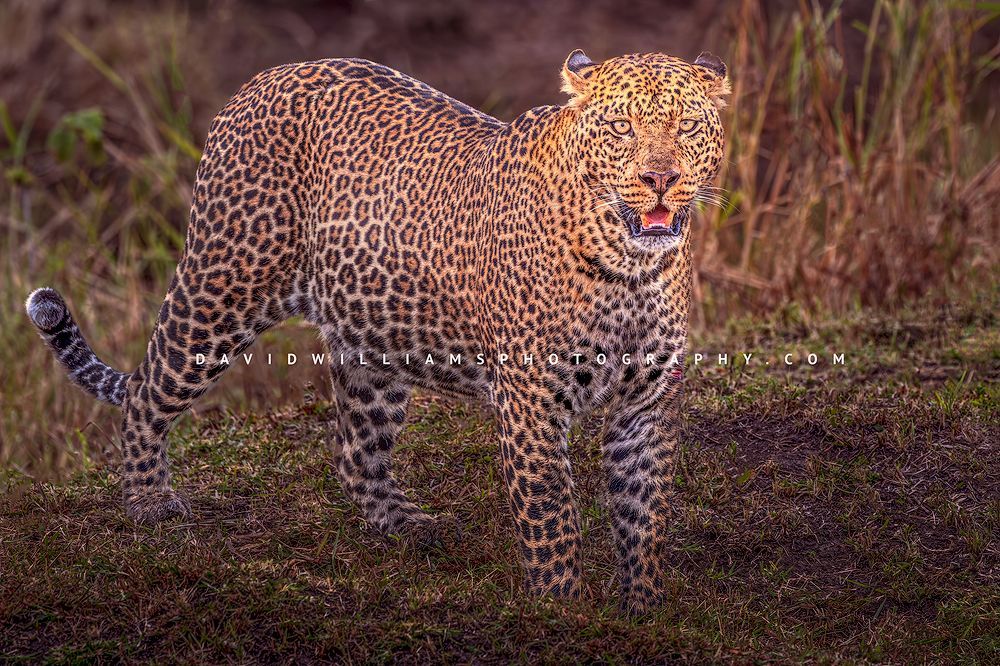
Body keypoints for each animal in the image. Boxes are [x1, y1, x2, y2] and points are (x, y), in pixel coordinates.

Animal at [26, 49, 729, 613]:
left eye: (688, 126)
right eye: (622, 128)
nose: (659, 179)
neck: (630, 267)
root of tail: (262, 78)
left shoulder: (649, 401)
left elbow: (644, 510)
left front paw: (644, 609)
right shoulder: (531, 397)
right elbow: (550, 511)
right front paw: (563, 612)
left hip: (371, 345)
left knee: (353, 452)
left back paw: (405, 524)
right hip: (223, 285)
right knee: (147, 391)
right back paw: (149, 502)